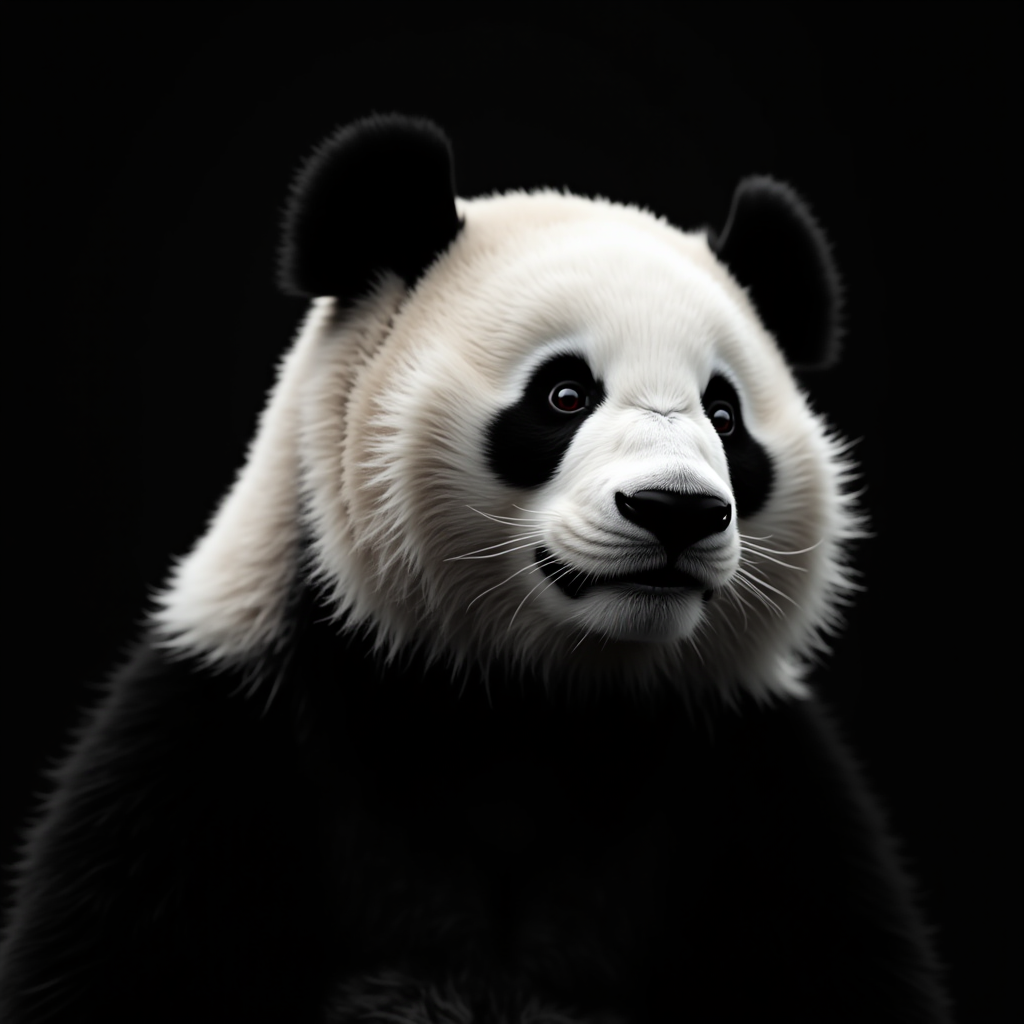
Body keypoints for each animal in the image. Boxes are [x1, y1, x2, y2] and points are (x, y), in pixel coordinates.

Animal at [0, 116, 950, 1019]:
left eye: (724, 415)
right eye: (564, 394)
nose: (675, 510)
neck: (526, 699)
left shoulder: (753, 781)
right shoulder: (226, 736)